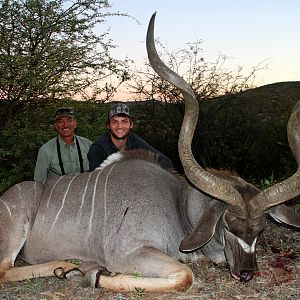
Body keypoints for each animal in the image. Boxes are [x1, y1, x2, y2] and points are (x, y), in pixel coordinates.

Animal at [0, 12, 300, 292]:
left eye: (260, 230)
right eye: (228, 225)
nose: (247, 273)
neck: (178, 204)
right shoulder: (127, 253)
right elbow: (184, 275)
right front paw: (95, 275)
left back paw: (66, 268)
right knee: (5, 270)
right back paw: (67, 267)